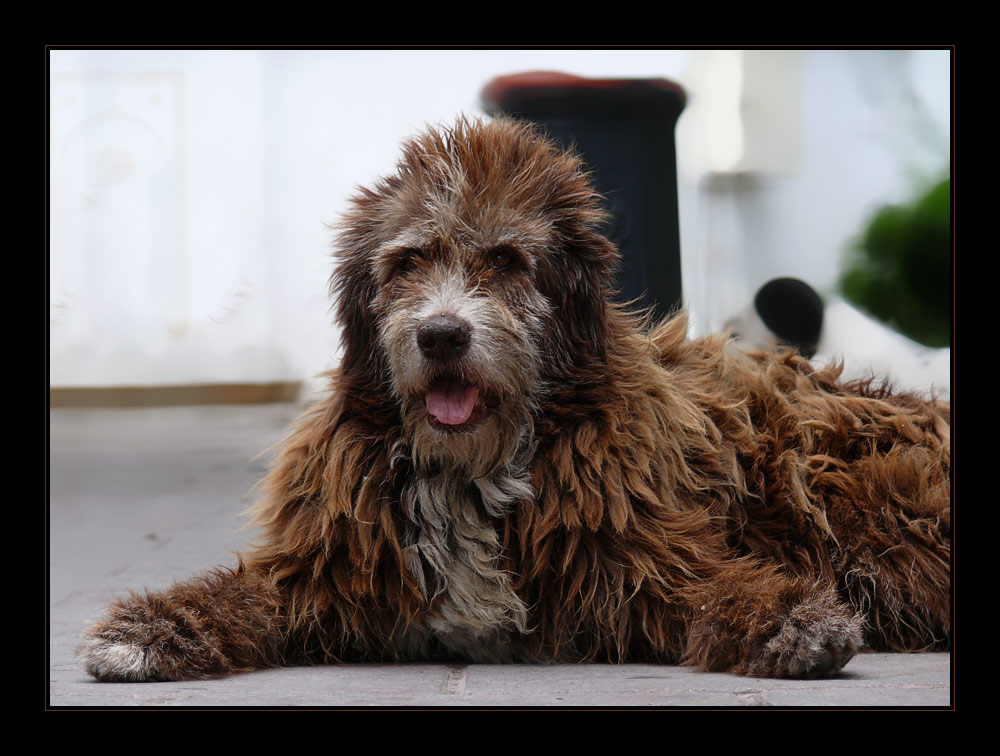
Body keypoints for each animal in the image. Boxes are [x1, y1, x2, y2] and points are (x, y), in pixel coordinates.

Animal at [82, 116, 948, 680]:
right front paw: (151, 626)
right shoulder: (331, 565)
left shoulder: (650, 557)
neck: (473, 469)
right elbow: (249, 592)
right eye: (409, 262)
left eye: (504, 260)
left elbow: (716, 584)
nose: (441, 336)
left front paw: (791, 620)